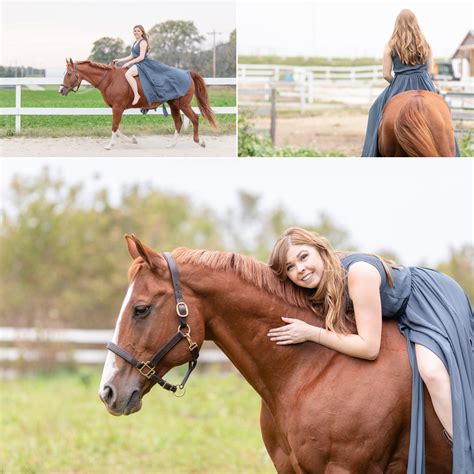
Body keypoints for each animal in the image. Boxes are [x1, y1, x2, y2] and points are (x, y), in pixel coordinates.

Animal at [57, 58, 218, 150]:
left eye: (69, 74)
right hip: (174, 105)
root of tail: (187, 72)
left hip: (183, 104)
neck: (109, 79)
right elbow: (117, 128)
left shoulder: (118, 108)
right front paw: (132, 140)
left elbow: (114, 126)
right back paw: (171, 144)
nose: (61, 90)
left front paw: (110, 145)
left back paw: (199, 141)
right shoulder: (116, 108)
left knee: (195, 118)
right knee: (178, 123)